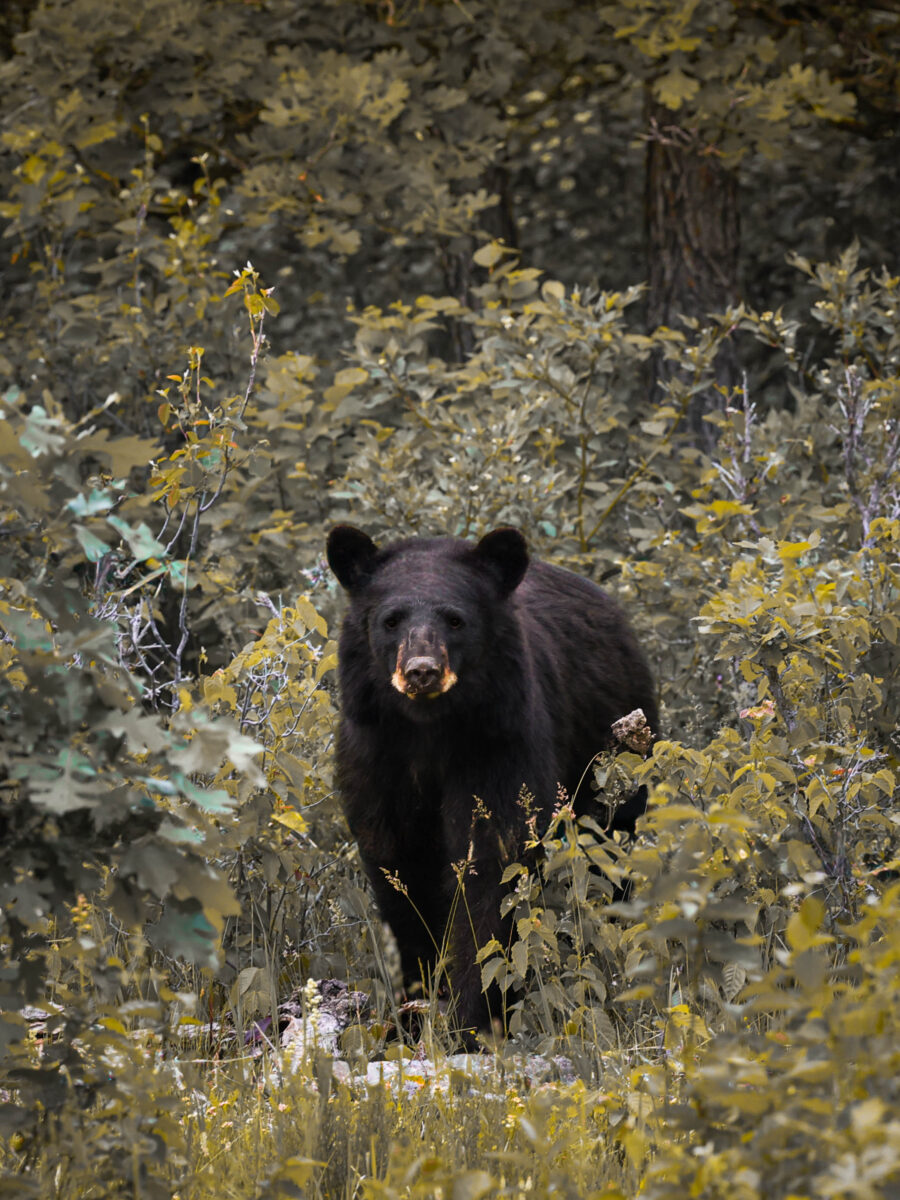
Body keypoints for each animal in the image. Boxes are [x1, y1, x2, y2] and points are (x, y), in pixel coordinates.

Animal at [326, 524, 657, 1040]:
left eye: (455, 620)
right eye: (391, 620)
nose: (422, 670)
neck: (428, 731)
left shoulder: (498, 742)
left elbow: (491, 861)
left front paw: (476, 1018)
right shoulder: (377, 753)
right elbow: (398, 867)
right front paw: (414, 1006)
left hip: (615, 751)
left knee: (612, 849)